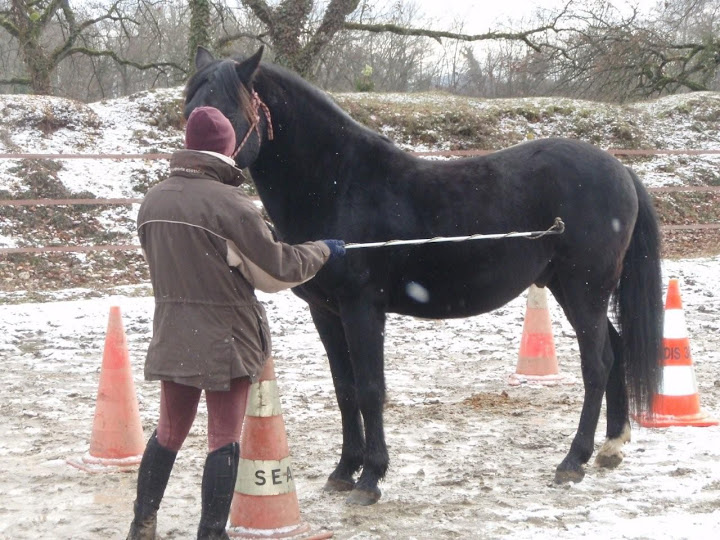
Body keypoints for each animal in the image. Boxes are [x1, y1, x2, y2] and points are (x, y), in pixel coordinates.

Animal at [184, 47, 664, 506]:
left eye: (227, 111)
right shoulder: (327, 313)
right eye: (189, 109)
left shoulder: (363, 308)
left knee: (597, 364)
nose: (194, 173)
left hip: (585, 289)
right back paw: (611, 447)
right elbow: (344, 390)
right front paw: (344, 471)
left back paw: (573, 460)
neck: (340, 183)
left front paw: (370, 478)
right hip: (572, 289)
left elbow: (370, 390)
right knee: (616, 351)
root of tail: (621, 170)